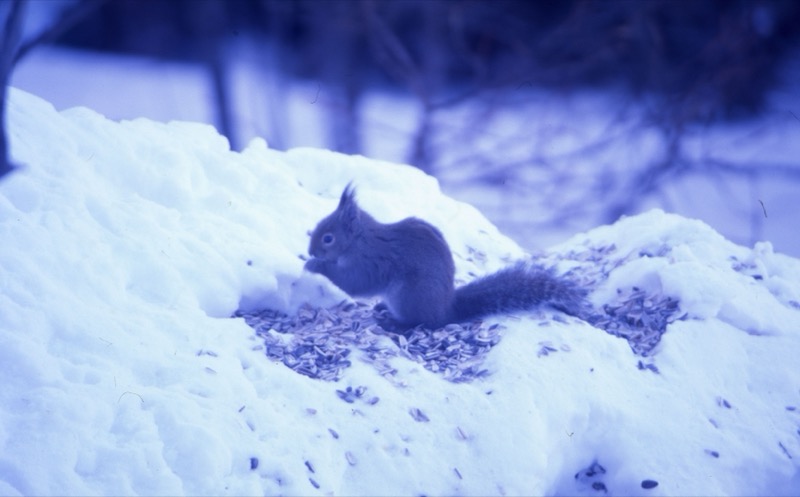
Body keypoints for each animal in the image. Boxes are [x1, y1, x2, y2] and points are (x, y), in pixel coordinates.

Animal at [304, 182, 584, 330]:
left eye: (328, 238)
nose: (310, 250)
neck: (360, 240)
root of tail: (446, 311)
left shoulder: (371, 262)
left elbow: (354, 283)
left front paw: (315, 265)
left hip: (409, 296)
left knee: (421, 323)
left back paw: (394, 322)